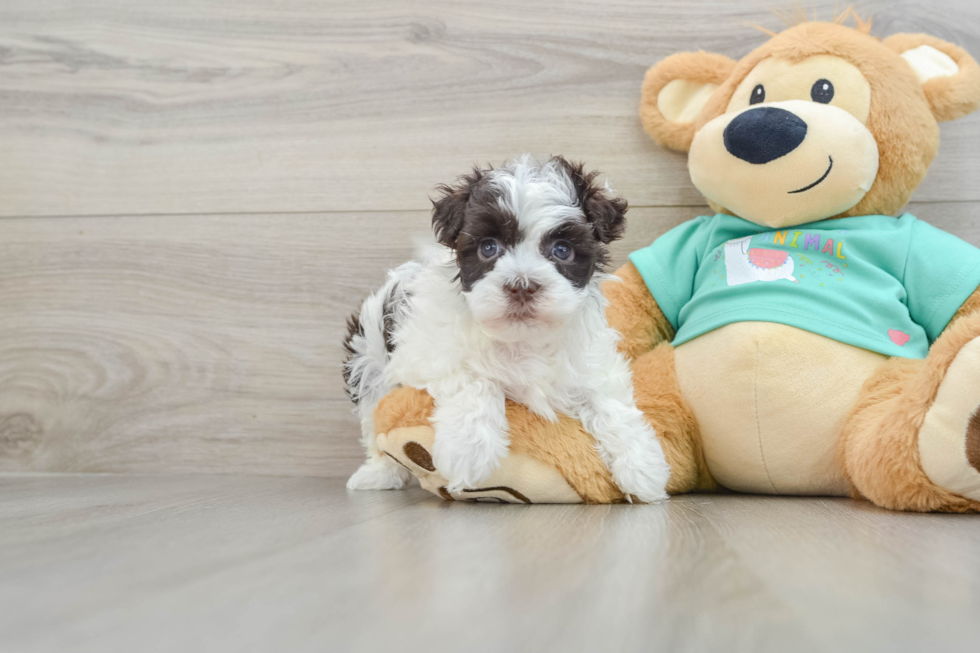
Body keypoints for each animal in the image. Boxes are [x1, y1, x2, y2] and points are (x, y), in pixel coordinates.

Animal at [340, 155, 668, 502]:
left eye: (562, 250)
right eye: (488, 248)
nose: (522, 285)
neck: (522, 339)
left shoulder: (591, 361)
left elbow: (608, 398)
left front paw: (643, 467)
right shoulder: (425, 353)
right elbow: (476, 379)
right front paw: (468, 449)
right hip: (369, 361)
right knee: (374, 421)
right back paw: (378, 474)